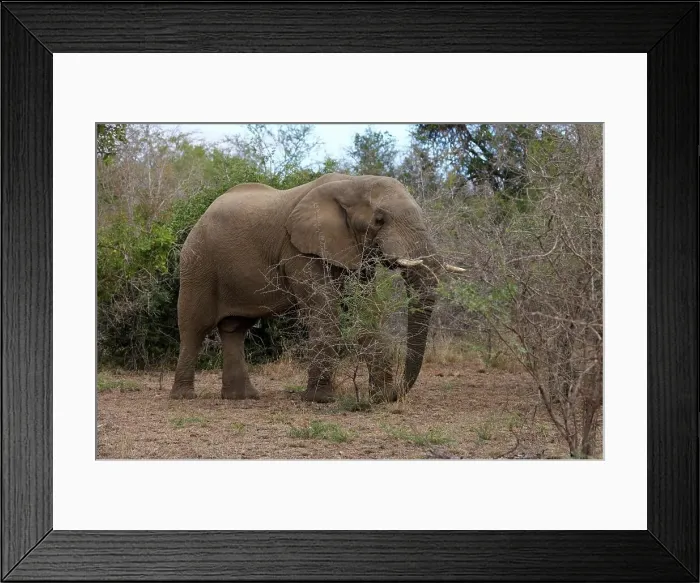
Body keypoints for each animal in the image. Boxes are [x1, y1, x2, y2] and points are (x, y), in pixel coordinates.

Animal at [169, 173, 465, 403]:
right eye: (379, 220)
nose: (395, 394)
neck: (352, 183)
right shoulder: (298, 248)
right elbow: (324, 309)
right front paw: (321, 399)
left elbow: (366, 308)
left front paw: (378, 396)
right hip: (198, 263)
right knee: (194, 327)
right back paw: (184, 396)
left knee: (235, 329)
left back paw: (243, 397)